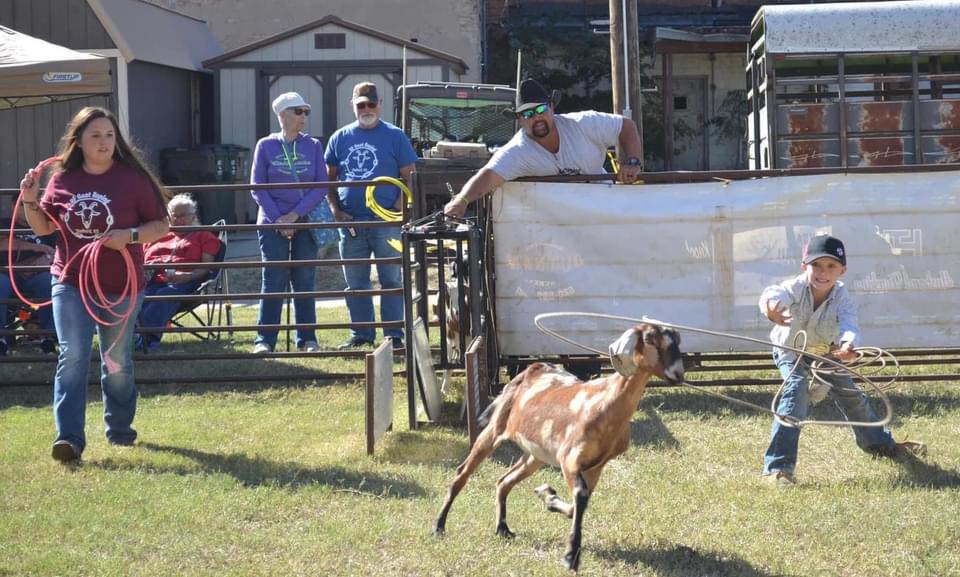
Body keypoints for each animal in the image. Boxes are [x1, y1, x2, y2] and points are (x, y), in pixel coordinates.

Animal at [433, 323, 684, 571]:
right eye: (650, 339)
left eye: (677, 340)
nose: (678, 374)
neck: (605, 404)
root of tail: (532, 368)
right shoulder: (569, 459)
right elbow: (580, 496)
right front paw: (571, 556)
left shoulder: (596, 465)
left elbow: (576, 505)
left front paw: (548, 496)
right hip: (494, 430)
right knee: (462, 474)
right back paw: (439, 525)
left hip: (535, 455)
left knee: (504, 481)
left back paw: (503, 528)